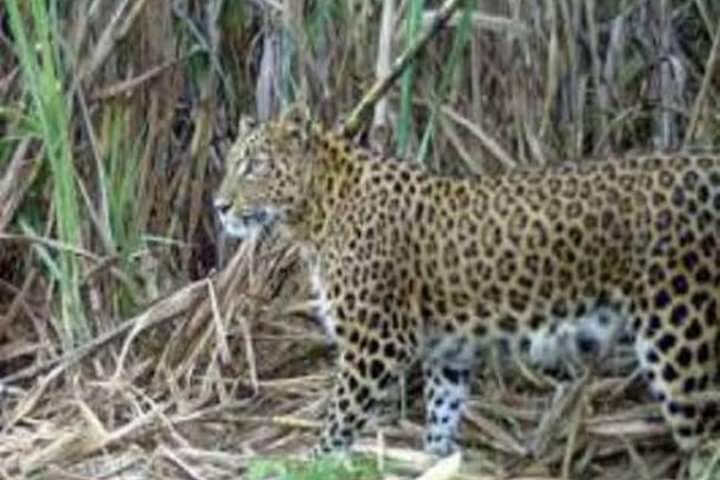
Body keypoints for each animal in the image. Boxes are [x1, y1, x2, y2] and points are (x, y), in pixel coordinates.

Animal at [214, 105, 720, 457]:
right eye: (232, 161)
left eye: (254, 165)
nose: (218, 205)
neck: (316, 212)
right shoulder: (449, 350)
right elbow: (441, 415)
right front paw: (437, 459)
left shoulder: (377, 343)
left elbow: (339, 420)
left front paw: (311, 461)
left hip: (679, 334)